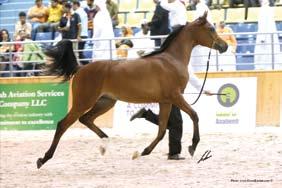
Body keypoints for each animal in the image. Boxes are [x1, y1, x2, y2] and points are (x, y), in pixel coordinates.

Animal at [37, 12, 227, 168]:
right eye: (211, 28)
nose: (224, 46)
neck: (171, 60)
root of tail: (80, 68)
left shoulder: (165, 101)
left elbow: (162, 129)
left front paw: (143, 152)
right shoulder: (175, 97)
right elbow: (193, 115)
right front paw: (193, 146)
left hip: (106, 102)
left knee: (86, 119)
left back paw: (105, 145)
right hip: (83, 102)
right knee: (63, 124)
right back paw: (43, 159)